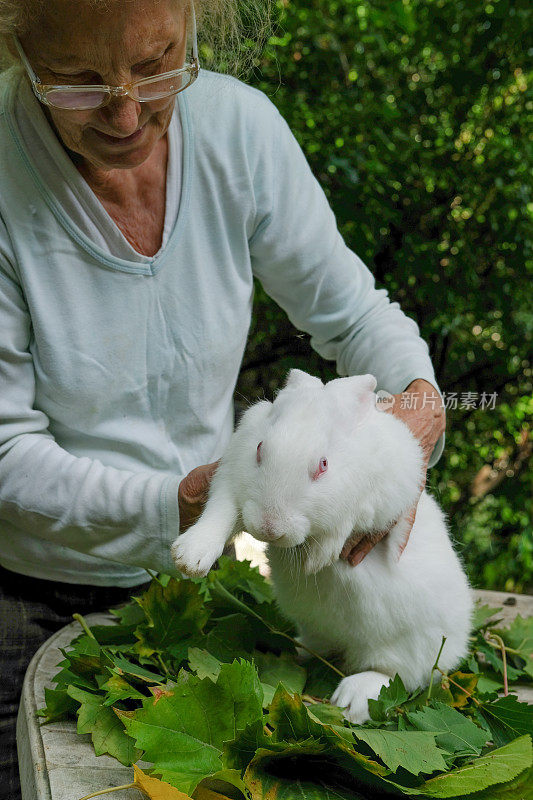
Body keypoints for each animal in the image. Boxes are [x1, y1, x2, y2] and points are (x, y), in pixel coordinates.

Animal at [169, 368, 470, 724]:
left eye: (323, 465)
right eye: (259, 449)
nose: (269, 526)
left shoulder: (379, 495)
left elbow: (347, 521)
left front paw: (318, 558)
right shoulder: (230, 481)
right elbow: (219, 513)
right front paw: (189, 558)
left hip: (413, 643)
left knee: (400, 675)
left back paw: (352, 700)